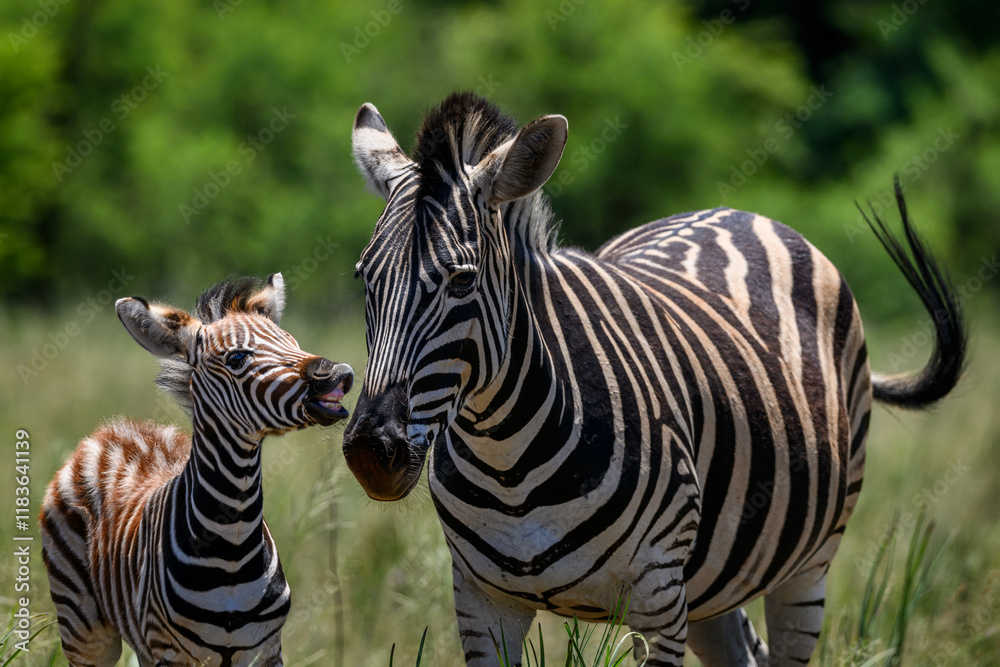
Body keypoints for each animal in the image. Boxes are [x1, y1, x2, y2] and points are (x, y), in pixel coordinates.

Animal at [39, 274, 354, 667]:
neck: (232, 542)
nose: (340, 374)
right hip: (83, 628)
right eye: (237, 358)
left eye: (293, 343)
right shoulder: (170, 651)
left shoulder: (265, 650)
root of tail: (110, 430)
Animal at [342, 93, 966, 666]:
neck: (508, 464)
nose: (373, 453)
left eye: (462, 282)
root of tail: (735, 213)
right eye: (363, 277)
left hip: (807, 565)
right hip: (714, 580)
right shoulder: (480, 602)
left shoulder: (659, 597)